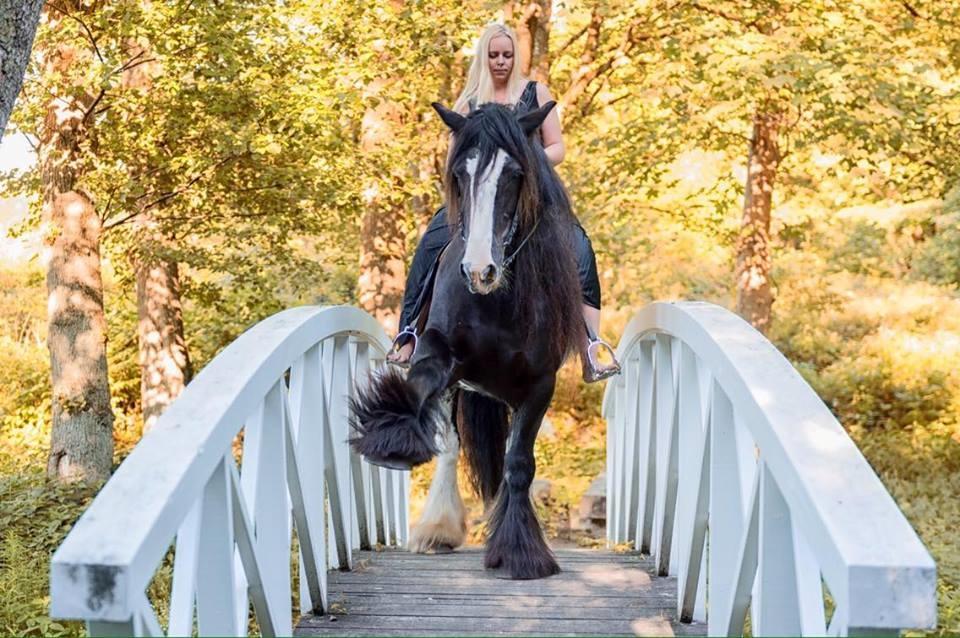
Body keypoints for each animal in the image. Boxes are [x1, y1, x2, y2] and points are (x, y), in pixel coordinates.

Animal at [348, 99, 580, 580]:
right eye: (459, 174)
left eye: (515, 173)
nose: (478, 271)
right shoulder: (440, 352)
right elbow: (419, 386)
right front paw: (391, 441)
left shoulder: (540, 384)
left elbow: (518, 464)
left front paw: (521, 554)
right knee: (452, 446)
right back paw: (438, 528)